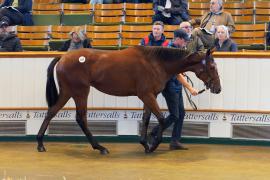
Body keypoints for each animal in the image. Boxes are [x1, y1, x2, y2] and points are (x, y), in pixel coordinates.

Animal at [36, 45, 221, 154]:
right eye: (212, 67)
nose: (218, 88)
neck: (156, 63)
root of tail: (63, 57)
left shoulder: (150, 95)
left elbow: (146, 119)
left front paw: (145, 144)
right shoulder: (146, 95)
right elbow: (161, 119)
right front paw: (153, 144)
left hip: (68, 92)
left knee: (51, 112)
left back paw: (40, 143)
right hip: (80, 92)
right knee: (80, 118)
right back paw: (100, 147)